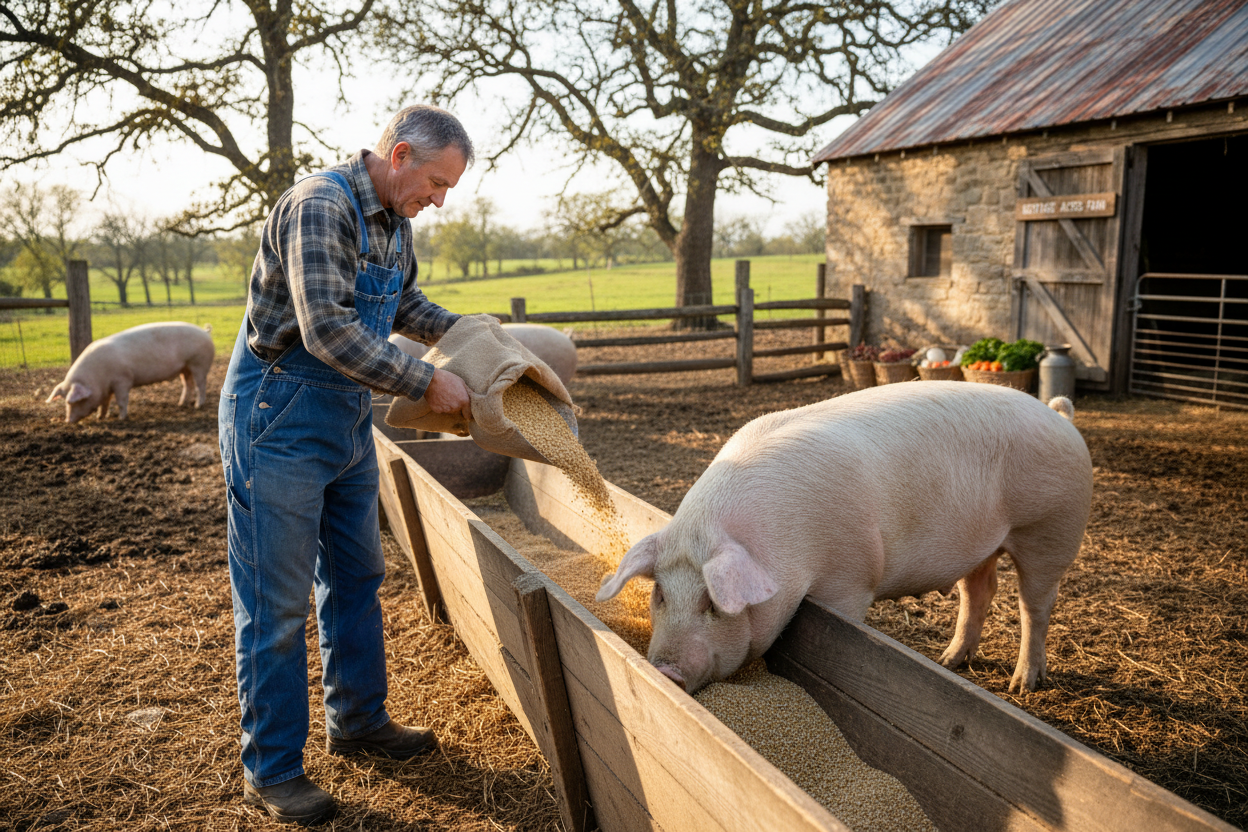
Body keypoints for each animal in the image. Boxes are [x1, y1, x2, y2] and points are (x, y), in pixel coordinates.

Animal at [46, 322, 215, 423]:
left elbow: (121, 401)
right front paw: (100, 417)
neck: (96, 378)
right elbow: (104, 403)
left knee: (201, 385)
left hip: (199, 363)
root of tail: (205, 332)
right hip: (185, 368)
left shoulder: (122, 380)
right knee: (188, 384)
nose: (67, 421)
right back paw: (181, 404)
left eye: (71, 401)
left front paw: (121, 419)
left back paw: (197, 406)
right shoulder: (107, 388)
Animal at [596, 381, 1093, 695]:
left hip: (1052, 528)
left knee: (1035, 605)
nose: (666, 671)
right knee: (980, 591)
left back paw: (1023, 684)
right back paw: (951, 661)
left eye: (713, 605)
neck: (783, 548)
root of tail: (1060, 416)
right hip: (984, 543)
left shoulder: (851, 581)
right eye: (660, 594)